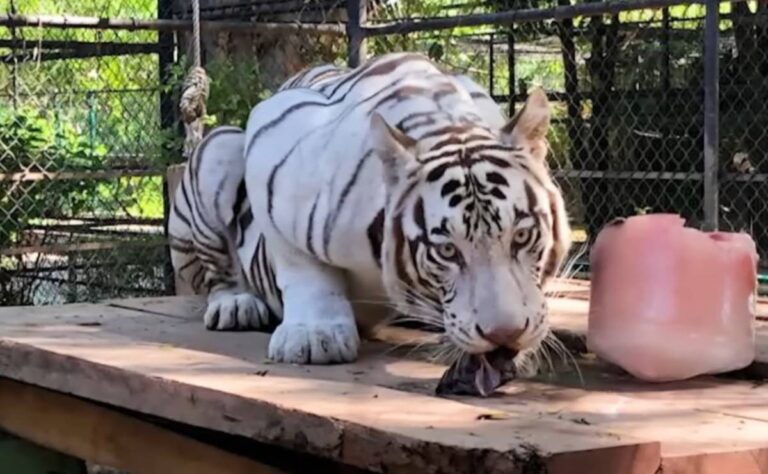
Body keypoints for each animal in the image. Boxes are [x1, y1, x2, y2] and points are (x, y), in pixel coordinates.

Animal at [168, 52, 572, 365]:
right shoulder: (271, 134)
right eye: (446, 250)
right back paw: (236, 303)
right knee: (215, 274)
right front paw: (315, 334)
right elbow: (300, 264)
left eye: (522, 236)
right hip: (219, 148)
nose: (505, 334)